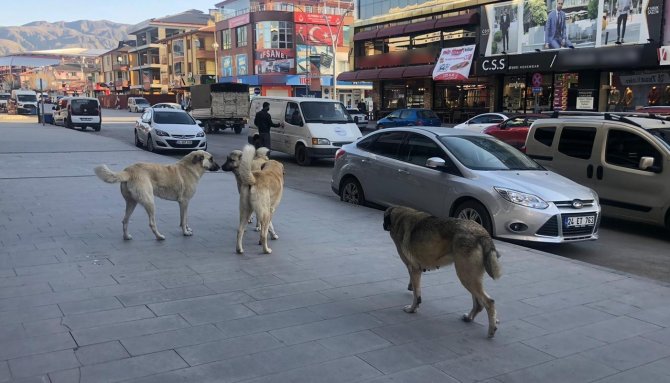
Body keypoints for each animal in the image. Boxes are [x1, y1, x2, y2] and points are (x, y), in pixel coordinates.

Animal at [384, 208, 504, 338]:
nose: (384, 225)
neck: (399, 216)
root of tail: (482, 233)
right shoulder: (416, 270)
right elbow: (416, 288)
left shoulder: (413, 268)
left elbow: (417, 295)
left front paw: (412, 309)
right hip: (471, 277)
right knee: (479, 303)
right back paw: (469, 318)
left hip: (465, 276)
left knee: (489, 302)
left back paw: (491, 330)